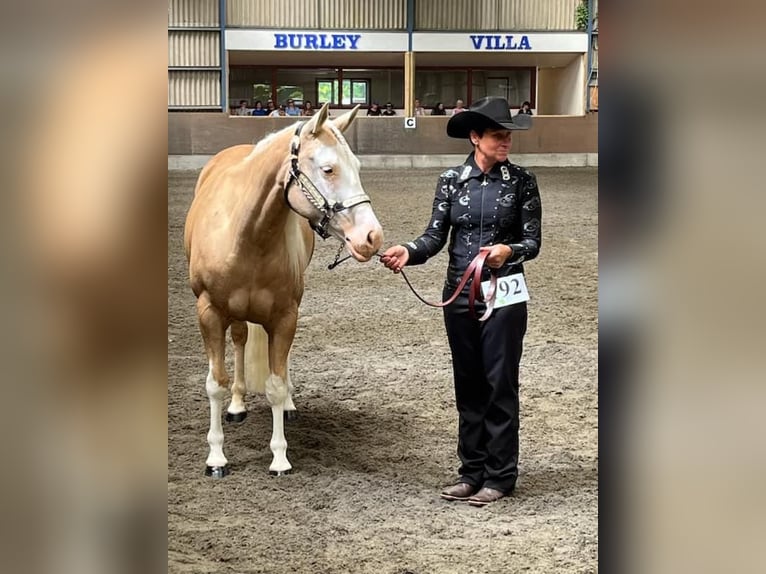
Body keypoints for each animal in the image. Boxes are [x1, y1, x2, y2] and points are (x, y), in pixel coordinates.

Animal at [184, 103, 388, 476]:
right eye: (328, 169)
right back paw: (237, 406)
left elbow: (276, 384)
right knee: (239, 340)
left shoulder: (284, 317)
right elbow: (215, 384)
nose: (372, 237)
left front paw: (280, 457)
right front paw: (216, 456)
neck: (247, 234)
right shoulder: (209, 314)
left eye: (357, 167)